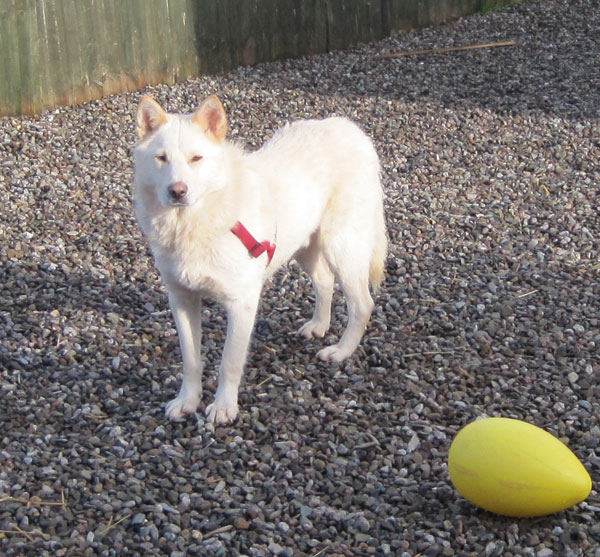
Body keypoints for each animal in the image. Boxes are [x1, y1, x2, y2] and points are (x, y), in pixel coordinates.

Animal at [133, 95, 386, 424]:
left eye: (196, 159)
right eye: (161, 158)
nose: (177, 191)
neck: (197, 221)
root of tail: (349, 128)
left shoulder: (241, 303)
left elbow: (229, 362)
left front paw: (224, 407)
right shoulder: (182, 299)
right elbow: (190, 359)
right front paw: (187, 400)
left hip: (342, 246)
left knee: (362, 304)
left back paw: (341, 351)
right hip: (303, 243)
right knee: (324, 280)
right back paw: (319, 325)